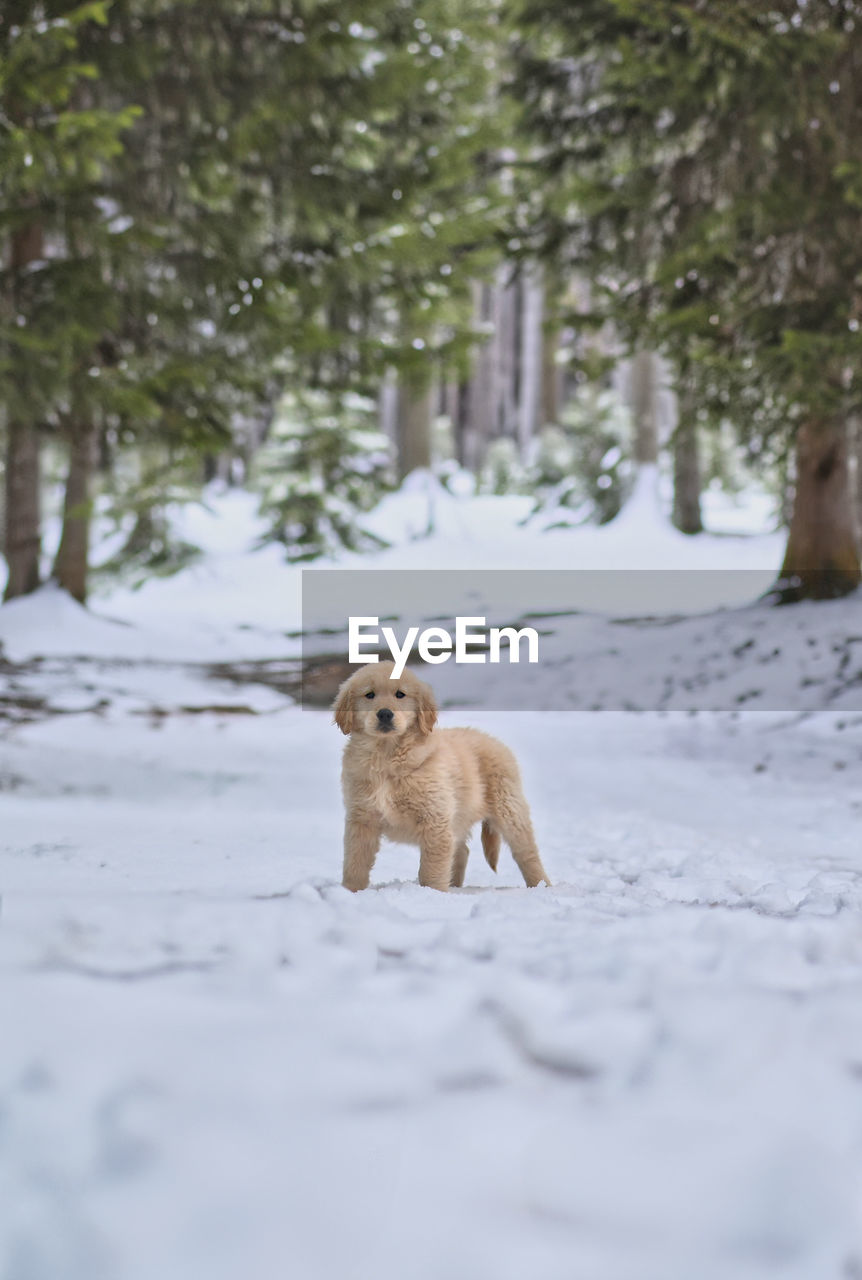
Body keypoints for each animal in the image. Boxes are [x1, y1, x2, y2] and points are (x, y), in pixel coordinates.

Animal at [333, 660, 548, 890]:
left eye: (400, 694)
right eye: (369, 695)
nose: (384, 714)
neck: (386, 756)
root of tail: (494, 741)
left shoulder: (435, 818)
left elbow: (432, 868)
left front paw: (431, 893)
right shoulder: (361, 818)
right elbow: (355, 862)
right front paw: (351, 891)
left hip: (508, 808)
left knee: (526, 852)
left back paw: (541, 885)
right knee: (461, 850)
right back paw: (454, 886)